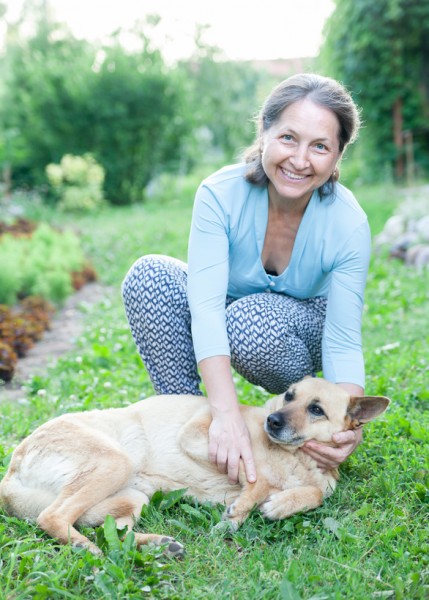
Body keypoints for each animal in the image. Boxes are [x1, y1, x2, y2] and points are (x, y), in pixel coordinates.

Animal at [0, 378, 388, 556]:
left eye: (317, 409)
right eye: (290, 396)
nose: (273, 421)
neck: (294, 457)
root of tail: (10, 474)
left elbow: (316, 494)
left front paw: (282, 503)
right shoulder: (199, 434)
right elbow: (256, 475)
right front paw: (247, 506)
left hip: (133, 497)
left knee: (112, 534)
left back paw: (159, 545)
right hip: (114, 462)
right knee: (53, 518)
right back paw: (86, 550)